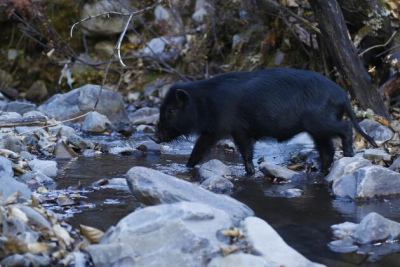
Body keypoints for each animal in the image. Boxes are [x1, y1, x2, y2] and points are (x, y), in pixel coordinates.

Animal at [153, 68, 378, 175]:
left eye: (171, 110)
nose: (155, 137)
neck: (205, 103)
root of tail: (342, 96)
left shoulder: (239, 129)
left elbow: (245, 151)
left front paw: (250, 172)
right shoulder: (212, 132)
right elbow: (198, 150)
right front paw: (187, 167)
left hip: (319, 122)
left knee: (345, 128)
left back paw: (349, 154)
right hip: (317, 130)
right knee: (327, 150)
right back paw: (323, 171)